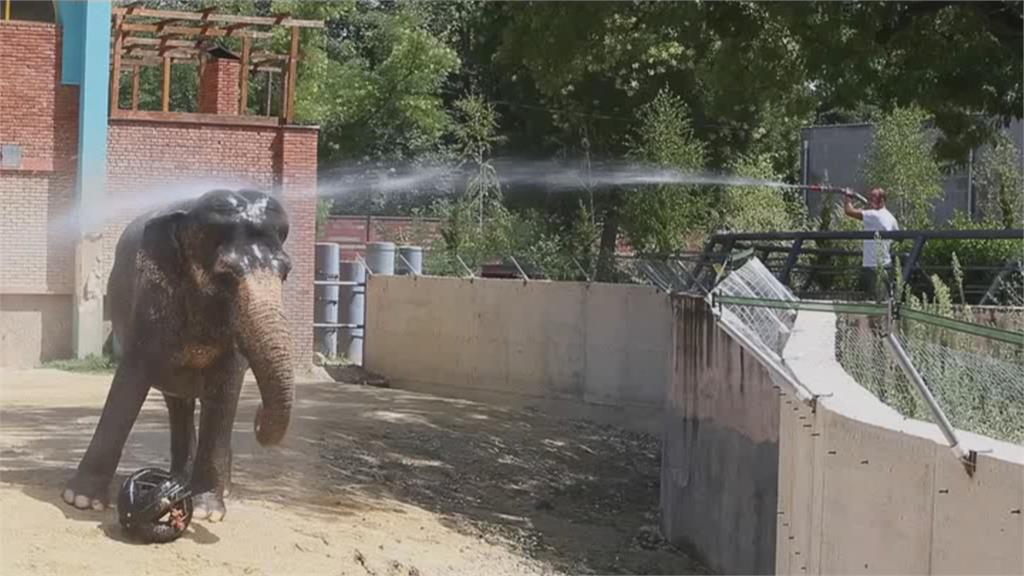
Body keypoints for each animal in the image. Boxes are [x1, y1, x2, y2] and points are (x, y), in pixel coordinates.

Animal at [62, 188, 296, 520]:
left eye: (286, 273)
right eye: (225, 275)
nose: (259, 416)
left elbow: (227, 387)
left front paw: (207, 512)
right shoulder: (152, 298)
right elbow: (130, 379)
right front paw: (81, 500)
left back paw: (211, 487)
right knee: (177, 403)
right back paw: (177, 480)